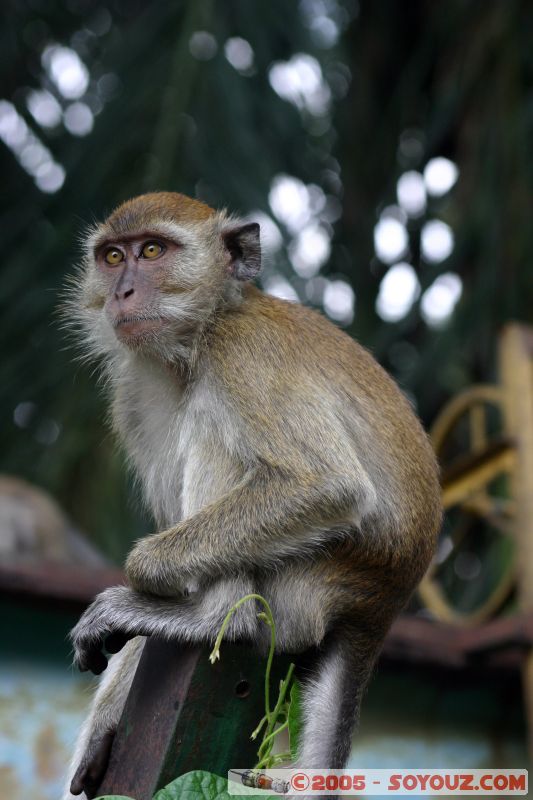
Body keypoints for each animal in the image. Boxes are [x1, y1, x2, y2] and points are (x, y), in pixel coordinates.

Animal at [62, 191, 440, 796]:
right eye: (113, 257)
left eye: (153, 251)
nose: (123, 292)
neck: (198, 335)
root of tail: (382, 604)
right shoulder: (133, 393)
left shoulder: (240, 353)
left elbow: (325, 485)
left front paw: (144, 576)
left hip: (310, 587)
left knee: (212, 429)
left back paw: (213, 615)